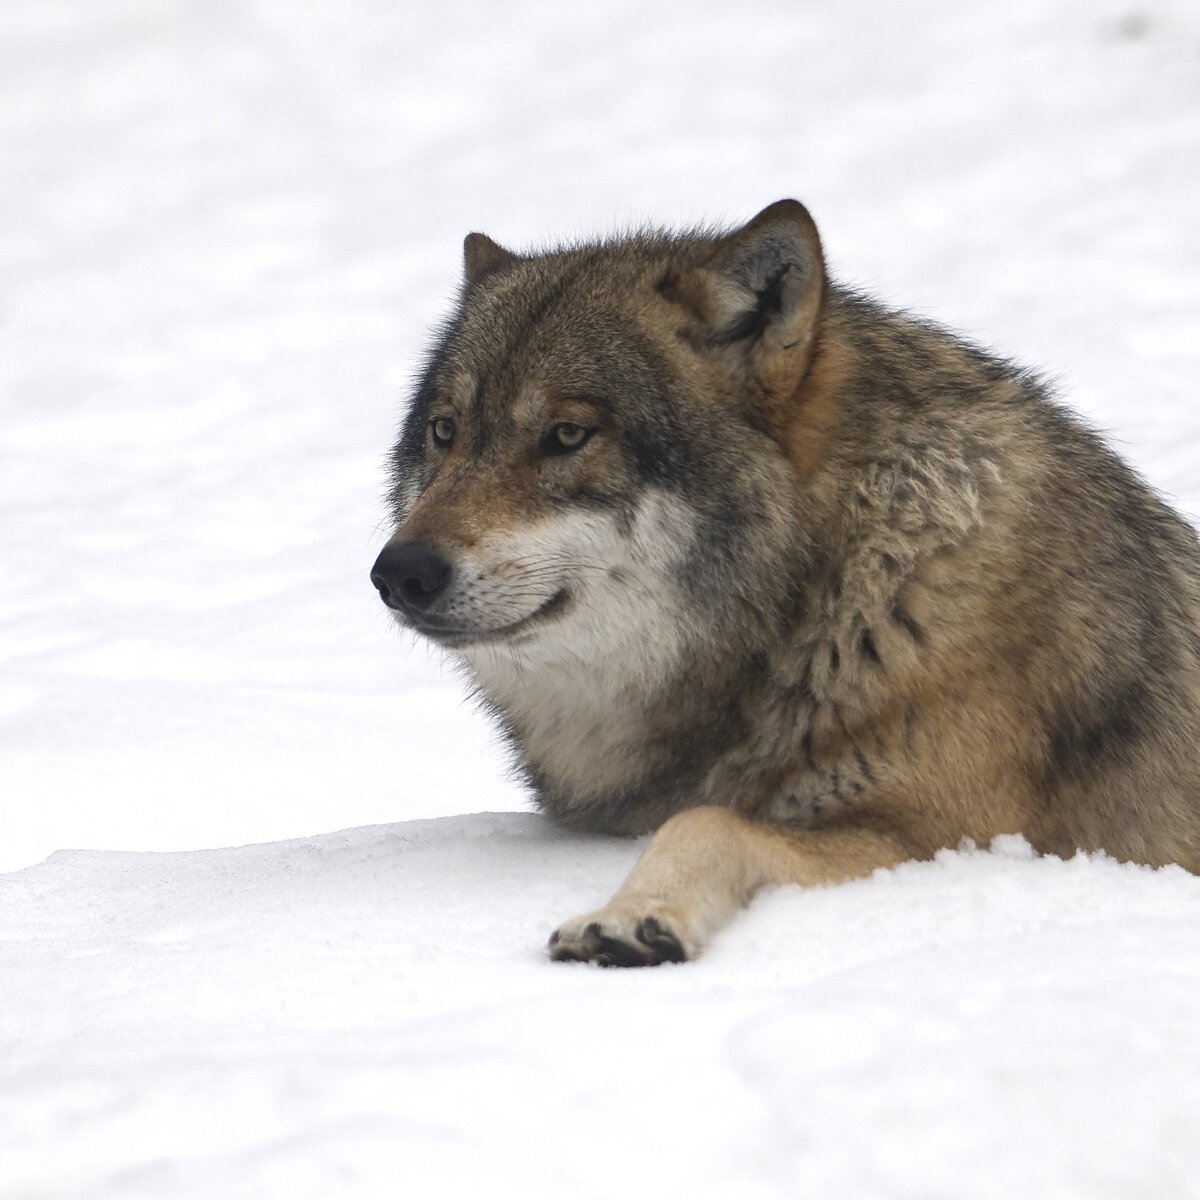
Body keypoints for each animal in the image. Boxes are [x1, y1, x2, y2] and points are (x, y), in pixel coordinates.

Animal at [367, 199, 1200, 964]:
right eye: (445, 431)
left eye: (567, 436)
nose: (399, 573)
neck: (829, 600)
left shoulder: (956, 840)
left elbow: (706, 820)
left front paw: (632, 917)